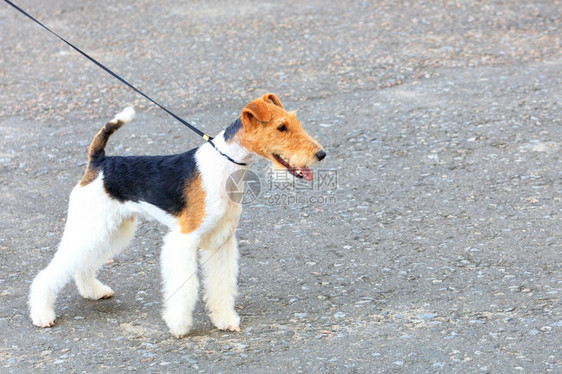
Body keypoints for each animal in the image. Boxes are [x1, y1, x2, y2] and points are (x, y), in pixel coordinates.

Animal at [29, 93, 324, 338]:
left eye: (294, 122)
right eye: (281, 127)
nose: (320, 154)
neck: (225, 166)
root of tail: (99, 162)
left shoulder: (221, 240)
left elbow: (221, 283)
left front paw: (225, 319)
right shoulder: (184, 239)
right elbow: (185, 286)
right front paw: (179, 325)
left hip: (113, 229)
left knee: (82, 264)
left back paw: (94, 291)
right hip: (92, 224)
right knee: (51, 272)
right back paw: (42, 315)